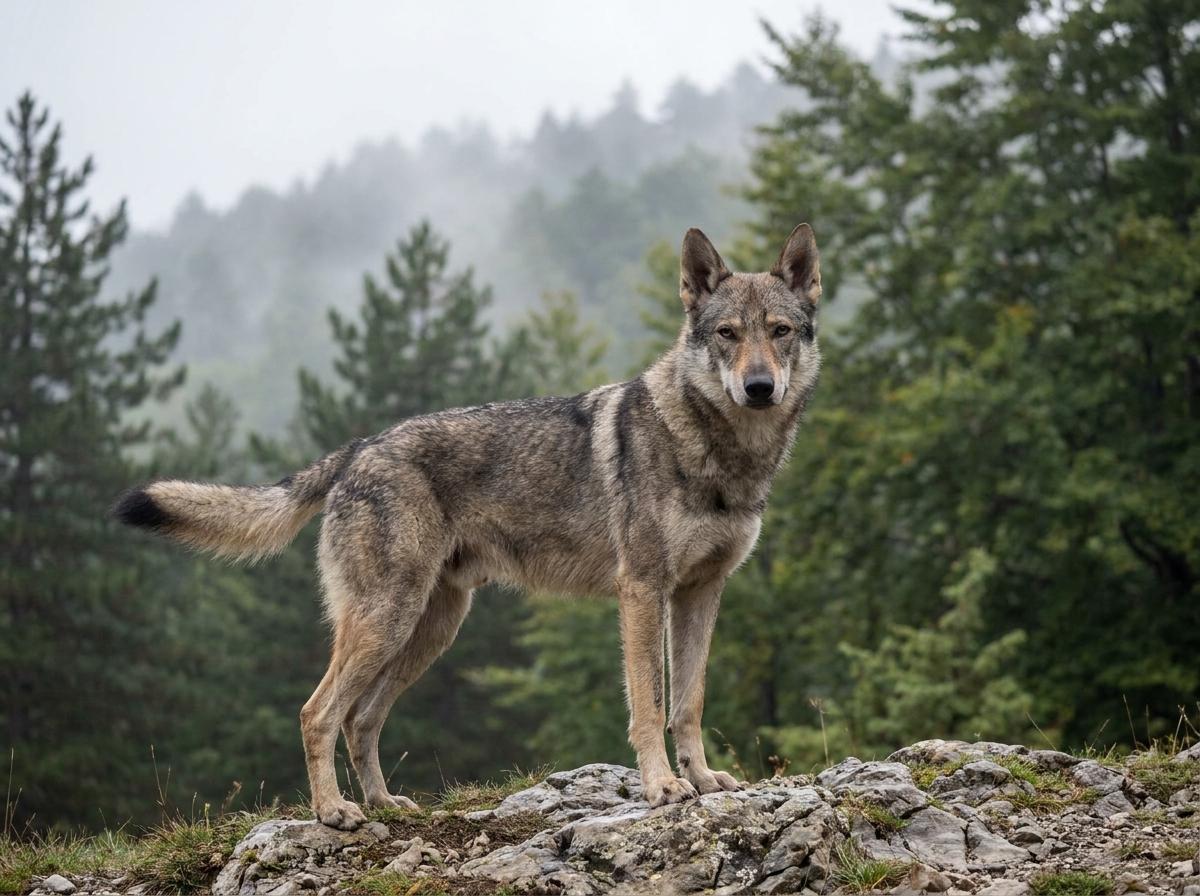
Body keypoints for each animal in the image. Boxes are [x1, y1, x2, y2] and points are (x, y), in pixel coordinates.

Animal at [114, 224, 822, 829]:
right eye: (727, 334)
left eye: (780, 331)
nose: (760, 387)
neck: (722, 454)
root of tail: (357, 449)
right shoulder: (643, 591)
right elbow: (649, 704)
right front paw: (662, 787)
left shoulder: (701, 592)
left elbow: (689, 702)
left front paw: (702, 780)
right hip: (388, 619)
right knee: (319, 713)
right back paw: (334, 813)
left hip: (430, 629)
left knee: (360, 720)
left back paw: (385, 804)